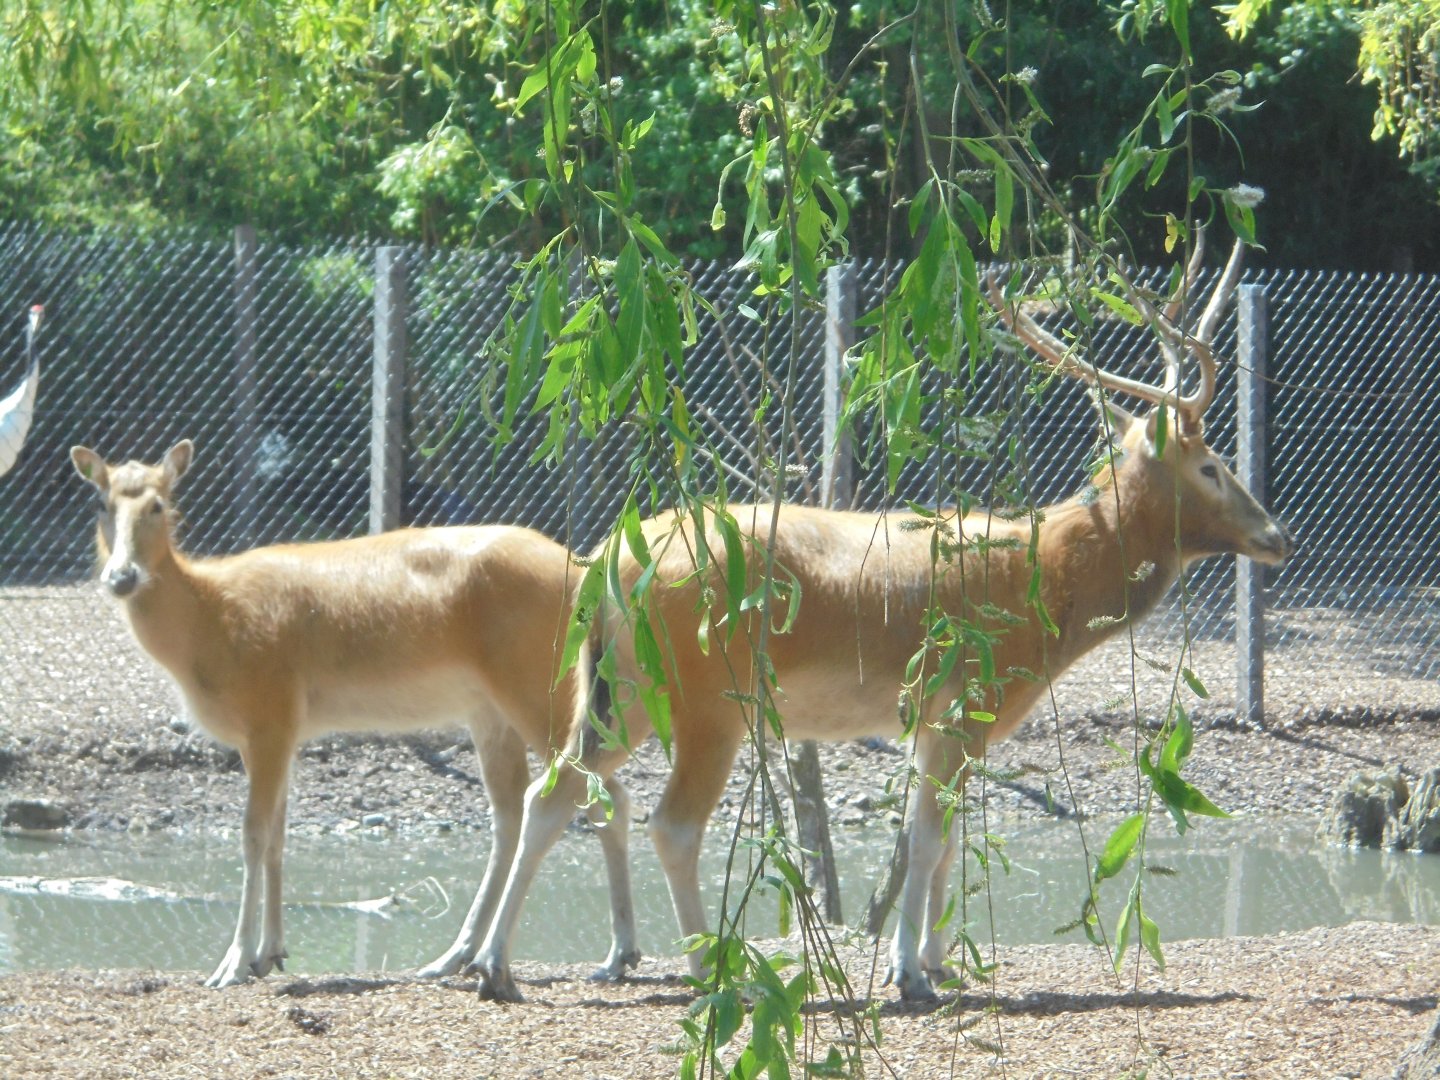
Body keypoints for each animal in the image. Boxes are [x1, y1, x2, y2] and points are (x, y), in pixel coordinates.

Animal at [70, 440, 640, 988]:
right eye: (100, 502)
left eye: (158, 504)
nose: (122, 576)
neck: (210, 624)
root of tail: (591, 579)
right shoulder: (283, 728)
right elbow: (277, 834)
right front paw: (269, 953)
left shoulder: (270, 709)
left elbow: (253, 834)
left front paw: (232, 965)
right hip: (489, 708)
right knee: (514, 810)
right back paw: (454, 957)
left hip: (543, 684)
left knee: (596, 793)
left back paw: (614, 955)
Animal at [463, 235, 1295, 1003]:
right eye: (1211, 466)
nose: (1278, 535)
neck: (1048, 596)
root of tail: (609, 567)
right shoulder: (962, 699)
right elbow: (925, 839)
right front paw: (911, 976)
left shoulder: (936, 720)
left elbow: (942, 838)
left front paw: (938, 961)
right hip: (708, 698)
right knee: (670, 823)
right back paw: (709, 972)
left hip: (619, 691)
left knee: (553, 794)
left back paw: (495, 968)